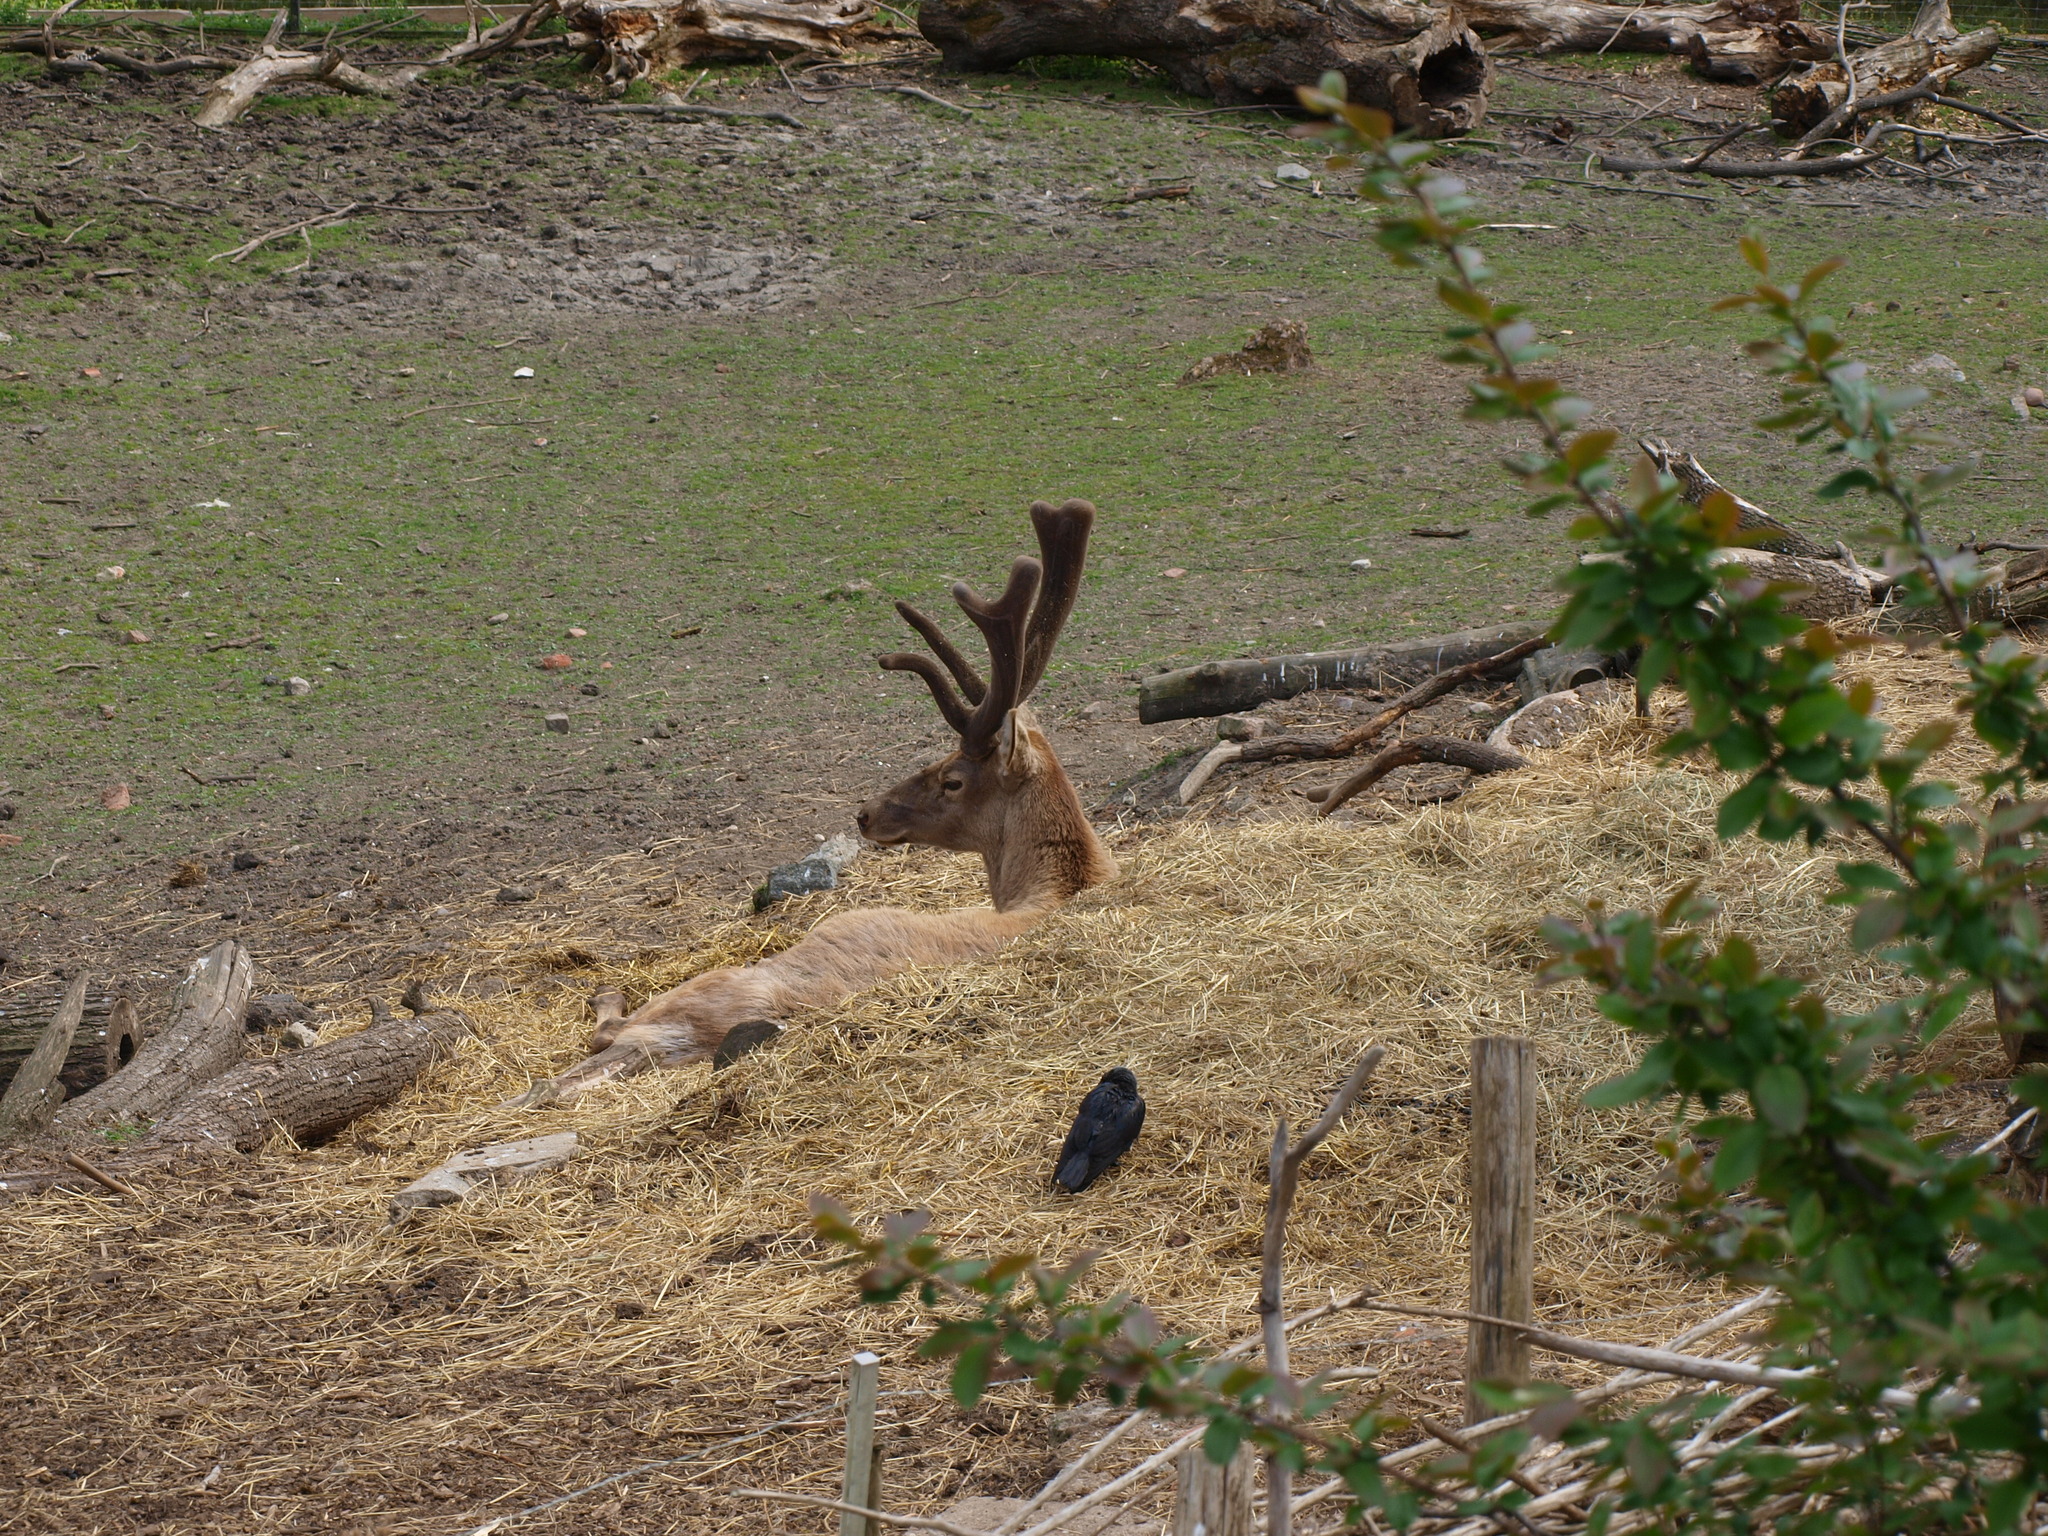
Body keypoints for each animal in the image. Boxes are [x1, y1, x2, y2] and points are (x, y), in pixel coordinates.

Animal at [507, 499, 1122, 1114]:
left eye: (953, 779)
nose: (866, 812)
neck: (1043, 888)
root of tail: (670, 1044)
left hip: (708, 986)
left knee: (605, 1034)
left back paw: (604, 996)